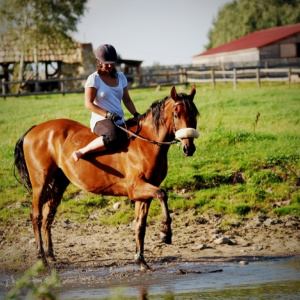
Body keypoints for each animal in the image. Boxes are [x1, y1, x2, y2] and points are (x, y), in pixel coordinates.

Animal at [14, 85, 199, 270]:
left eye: (194, 114)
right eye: (176, 114)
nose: (189, 149)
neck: (146, 142)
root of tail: (34, 129)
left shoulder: (143, 194)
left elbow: (140, 225)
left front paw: (141, 260)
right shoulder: (136, 188)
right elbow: (162, 194)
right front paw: (165, 234)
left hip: (59, 183)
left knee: (48, 215)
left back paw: (50, 255)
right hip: (40, 183)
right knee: (36, 215)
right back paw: (41, 257)